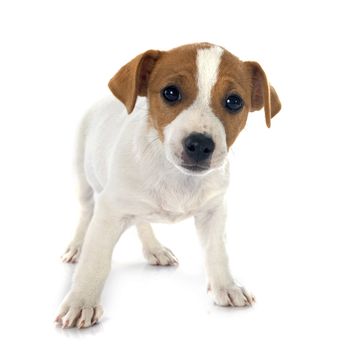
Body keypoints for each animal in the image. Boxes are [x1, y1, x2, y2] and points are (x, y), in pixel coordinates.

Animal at [55, 41, 282, 328]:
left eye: (234, 101)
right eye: (171, 93)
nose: (200, 144)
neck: (176, 175)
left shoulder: (214, 211)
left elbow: (217, 252)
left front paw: (226, 286)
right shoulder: (109, 212)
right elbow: (96, 261)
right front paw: (81, 301)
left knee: (141, 221)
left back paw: (155, 249)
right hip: (83, 179)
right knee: (86, 213)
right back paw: (76, 246)